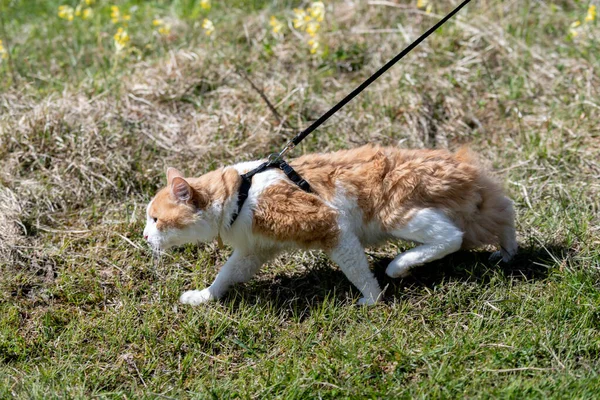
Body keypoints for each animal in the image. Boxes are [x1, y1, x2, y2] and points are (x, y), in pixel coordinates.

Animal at [144, 145, 516, 304]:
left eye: (155, 219)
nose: (145, 236)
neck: (240, 193)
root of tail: (459, 164)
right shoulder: (254, 250)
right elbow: (226, 275)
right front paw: (203, 297)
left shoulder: (331, 225)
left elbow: (357, 272)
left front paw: (372, 300)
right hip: (474, 208)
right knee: (505, 210)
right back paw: (508, 253)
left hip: (399, 214)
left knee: (451, 238)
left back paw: (399, 267)